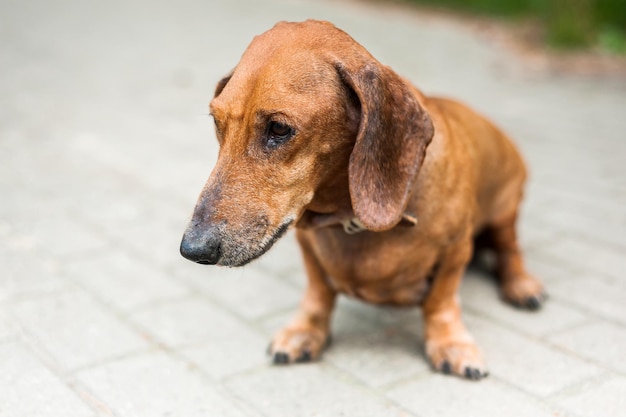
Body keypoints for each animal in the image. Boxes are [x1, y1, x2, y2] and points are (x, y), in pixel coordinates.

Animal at [179, 19, 540, 378]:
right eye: (216, 122)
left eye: (279, 128)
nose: (192, 250)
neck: (349, 217)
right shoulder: (308, 247)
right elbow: (318, 292)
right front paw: (304, 331)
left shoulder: (456, 250)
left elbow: (440, 301)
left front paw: (451, 343)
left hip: (505, 209)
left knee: (509, 248)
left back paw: (522, 285)